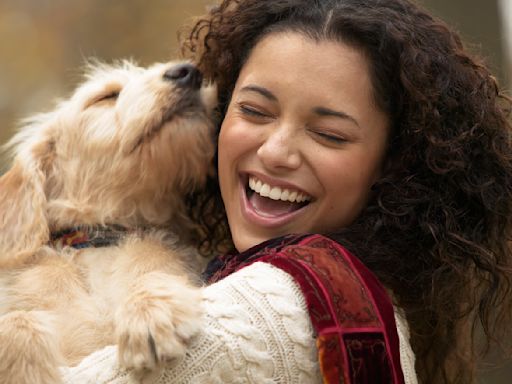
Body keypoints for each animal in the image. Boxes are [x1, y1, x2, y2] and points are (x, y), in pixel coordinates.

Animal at [0, 60, 218, 384]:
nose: (188, 71)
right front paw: (28, 372)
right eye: (105, 97)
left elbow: (152, 268)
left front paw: (150, 310)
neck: (101, 244)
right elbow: (15, 320)